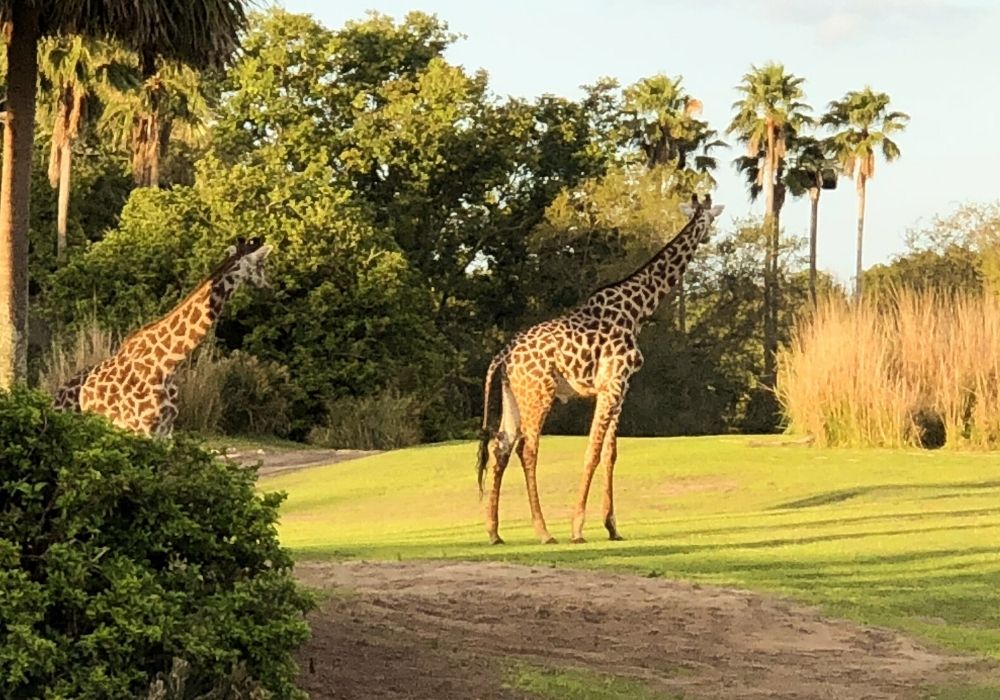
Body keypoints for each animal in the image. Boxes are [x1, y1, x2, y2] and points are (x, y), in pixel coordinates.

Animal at [53, 236, 272, 438]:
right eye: (261, 264)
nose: (268, 286)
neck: (169, 363)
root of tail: (57, 395)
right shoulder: (141, 428)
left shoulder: (165, 431)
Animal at [475, 194, 724, 545]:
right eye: (708, 219)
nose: (708, 236)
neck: (637, 309)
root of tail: (503, 355)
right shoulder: (614, 383)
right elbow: (593, 451)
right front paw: (578, 528)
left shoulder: (618, 388)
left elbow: (610, 453)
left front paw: (612, 527)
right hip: (539, 394)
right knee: (527, 449)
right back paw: (544, 531)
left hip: (514, 395)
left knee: (501, 448)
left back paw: (494, 532)